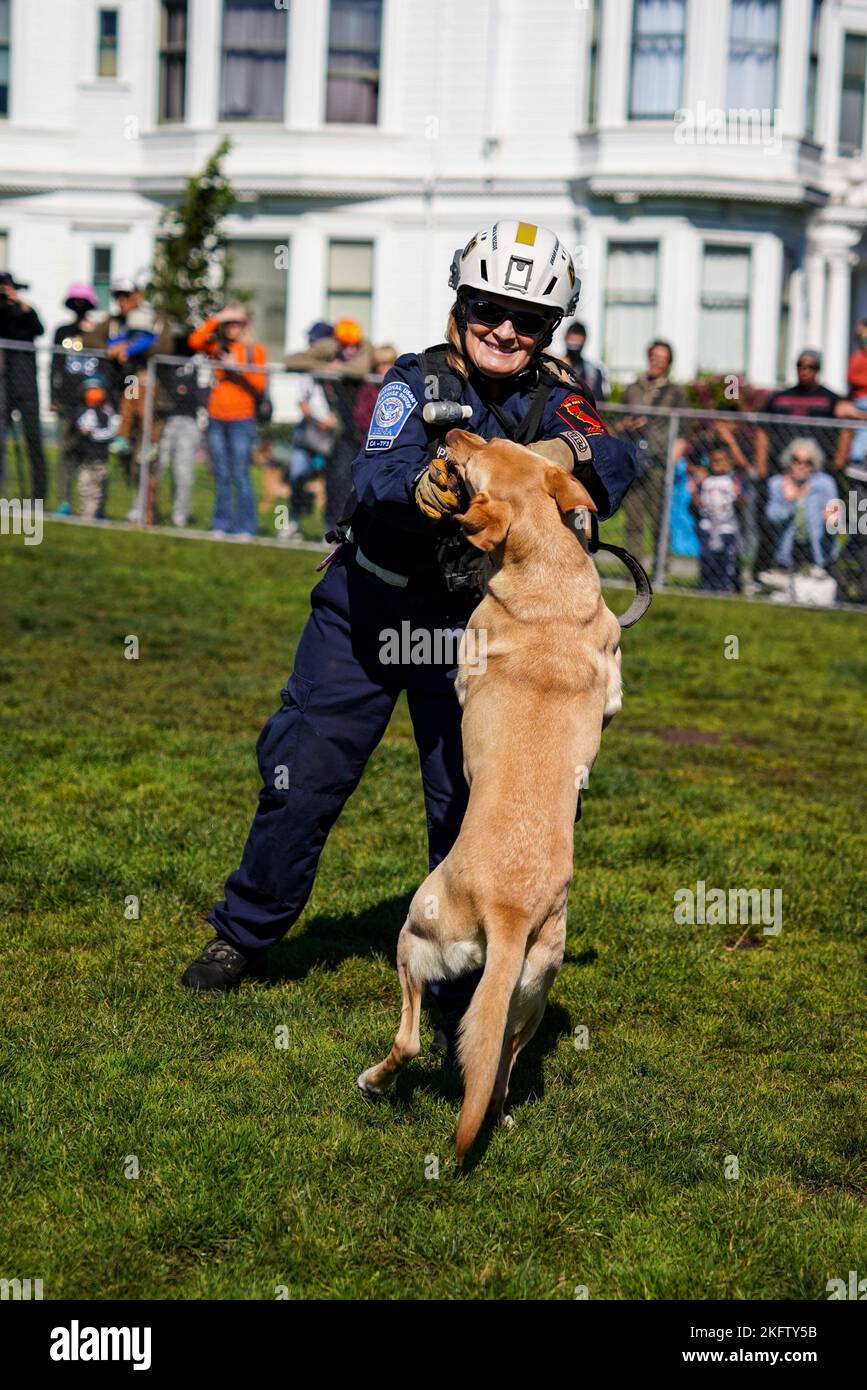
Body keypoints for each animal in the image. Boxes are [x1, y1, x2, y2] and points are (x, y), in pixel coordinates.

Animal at [358, 428, 622, 1156]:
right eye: (505, 442)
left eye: (477, 461)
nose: (451, 432)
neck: (546, 568)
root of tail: (506, 913)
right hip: (533, 990)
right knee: (497, 1058)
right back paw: (496, 1114)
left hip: (413, 934)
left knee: (411, 1039)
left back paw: (372, 1081)